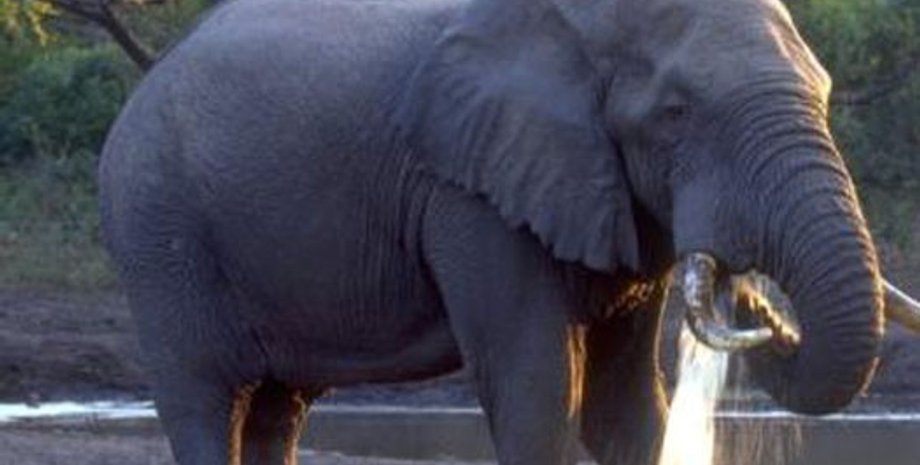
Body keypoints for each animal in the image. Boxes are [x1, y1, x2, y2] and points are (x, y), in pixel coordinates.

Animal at [97, 0, 920, 463]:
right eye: (675, 113)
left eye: (824, 92)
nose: (759, 299)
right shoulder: (470, 194)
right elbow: (540, 389)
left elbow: (627, 406)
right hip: (158, 229)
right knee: (209, 399)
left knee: (278, 409)